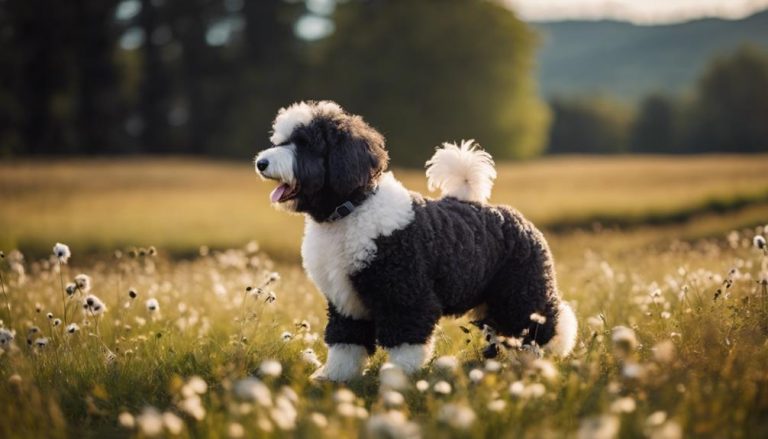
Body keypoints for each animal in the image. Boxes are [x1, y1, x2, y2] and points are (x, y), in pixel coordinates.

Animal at [256, 99, 576, 382]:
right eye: (281, 141)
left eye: (305, 143)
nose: (261, 162)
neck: (351, 210)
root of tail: (518, 219)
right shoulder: (345, 302)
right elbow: (344, 342)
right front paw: (335, 378)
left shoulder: (407, 297)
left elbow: (405, 344)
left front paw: (399, 381)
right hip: (494, 300)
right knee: (507, 333)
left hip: (523, 291)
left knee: (541, 327)